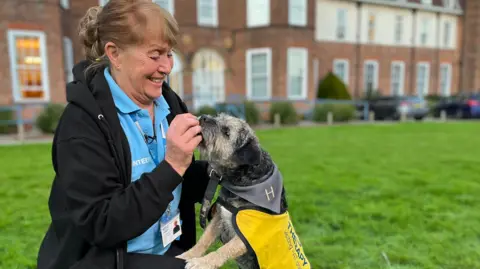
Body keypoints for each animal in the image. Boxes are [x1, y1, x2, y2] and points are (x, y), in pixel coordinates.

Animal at [176, 113, 288, 268]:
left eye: (226, 132)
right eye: (219, 116)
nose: (203, 117)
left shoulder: (247, 236)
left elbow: (223, 250)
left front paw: (201, 262)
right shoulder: (219, 218)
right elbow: (203, 240)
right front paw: (187, 255)